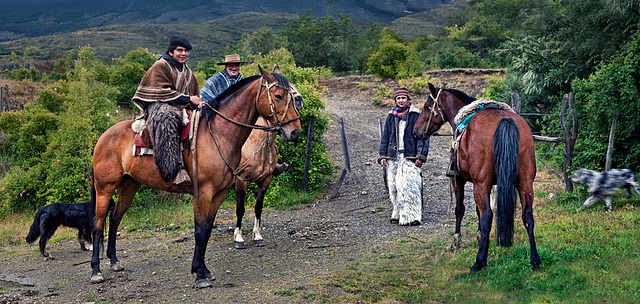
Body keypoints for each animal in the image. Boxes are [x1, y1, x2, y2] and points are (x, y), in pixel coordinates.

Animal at [89, 67, 304, 288]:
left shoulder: (219, 193)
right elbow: (200, 231)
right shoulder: (203, 193)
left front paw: (203, 270)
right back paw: (96, 271)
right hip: (104, 188)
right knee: (97, 225)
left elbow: (207, 230)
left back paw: (114, 261)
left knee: (115, 218)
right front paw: (200, 275)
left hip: (129, 185)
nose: (295, 131)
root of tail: (104, 136)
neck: (219, 134)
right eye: (278, 96)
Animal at [416, 82, 540, 270]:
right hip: (525, 183)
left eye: (426, 107)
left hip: (481, 185)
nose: (415, 131)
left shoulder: (460, 180)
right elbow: (477, 212)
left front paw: (457, 241)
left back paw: (479, 261)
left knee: (487, 216)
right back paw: (535, 260)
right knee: (527, 216)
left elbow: (460, 210)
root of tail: (505, 120)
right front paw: (479, 238)